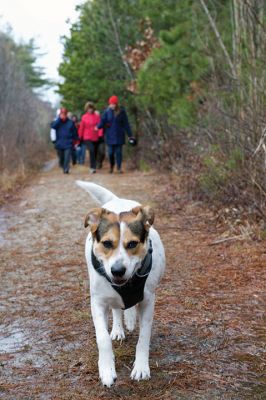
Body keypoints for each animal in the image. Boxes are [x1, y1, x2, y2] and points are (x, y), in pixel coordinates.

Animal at [76, 180, 165, 386]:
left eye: (132, 244)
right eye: (107, 243)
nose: (117, 271)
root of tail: (117, 200)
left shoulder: (148, 301)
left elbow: (144, 337)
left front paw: (141, 367)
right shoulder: (98, 302)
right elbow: (102, 338)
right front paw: (107, 369)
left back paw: (130, 319)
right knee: (117, 308)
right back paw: (118, 328)